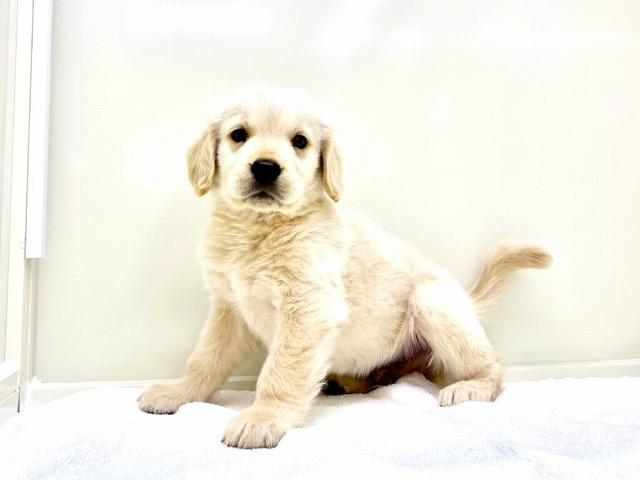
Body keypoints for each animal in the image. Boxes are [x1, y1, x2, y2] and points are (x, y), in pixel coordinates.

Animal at [137, 85, 551, 449]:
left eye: (300, 141)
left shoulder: (308, 308)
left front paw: (263, 418)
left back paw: (471, 386)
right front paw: (179, 391)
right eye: (238, 135)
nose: (266, 168)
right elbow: (204, 359)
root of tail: (467, 301)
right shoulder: (229, 309)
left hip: (433, 304)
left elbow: (279, 372)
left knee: (494, 366)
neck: (260, 228)